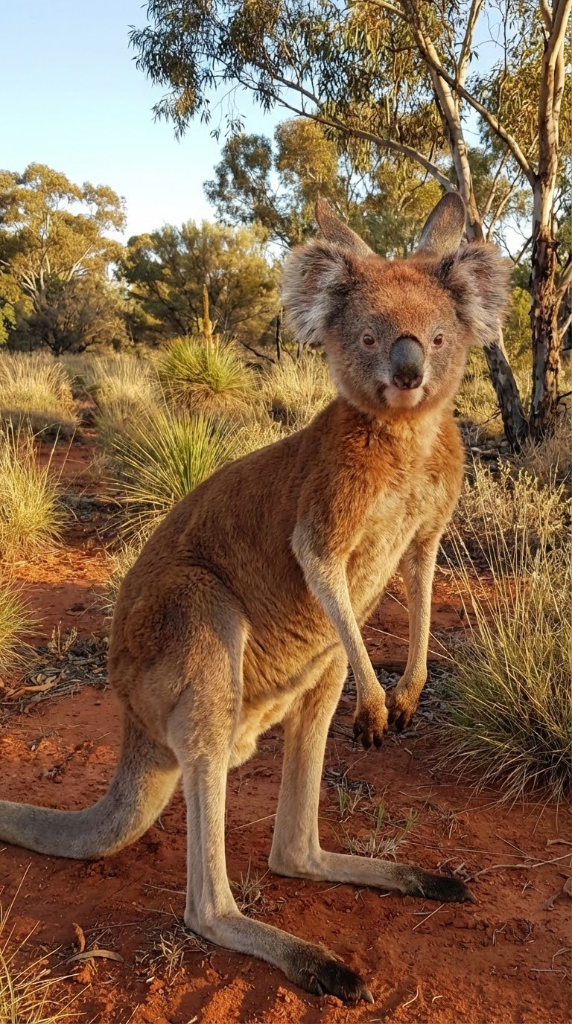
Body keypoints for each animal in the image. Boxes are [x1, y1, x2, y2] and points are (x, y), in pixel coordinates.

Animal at [0, 193, 509, 1004]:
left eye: (437, 336)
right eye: (368, 337)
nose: (409, 373)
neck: (403, 435)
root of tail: (136, 730)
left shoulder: (430, 523)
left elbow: (424, 580)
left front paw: (408, 693)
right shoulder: (324, 514)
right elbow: (320, 565)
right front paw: (383, 706)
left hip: (313, 673)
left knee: (293, 848)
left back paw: (411, 879)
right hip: (194, 625)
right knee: (206, 903)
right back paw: (316, 961)